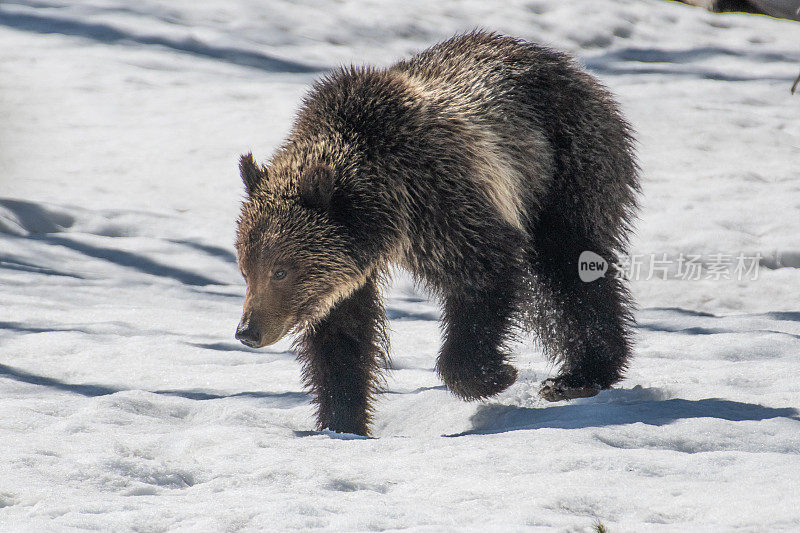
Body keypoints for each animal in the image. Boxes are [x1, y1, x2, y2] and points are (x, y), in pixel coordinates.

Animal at [231, 30, 636, 436]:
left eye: (280, 270)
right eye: (246, 270)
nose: (248, 331)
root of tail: (568, 64)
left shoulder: (441, 199)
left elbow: (485, 270)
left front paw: (493, 374)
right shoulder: (345, 270)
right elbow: (342, 337)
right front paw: (341, 422)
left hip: (564, 166)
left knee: (569, 264)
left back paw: (580, 375)